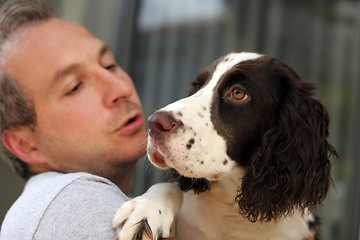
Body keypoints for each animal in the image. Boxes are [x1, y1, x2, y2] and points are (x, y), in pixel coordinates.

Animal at [114, 52, 338, 240]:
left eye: (238, 93)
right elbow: (172, 186)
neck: (233, 206)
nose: (154, 123)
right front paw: (145, 211)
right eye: (197, 86)